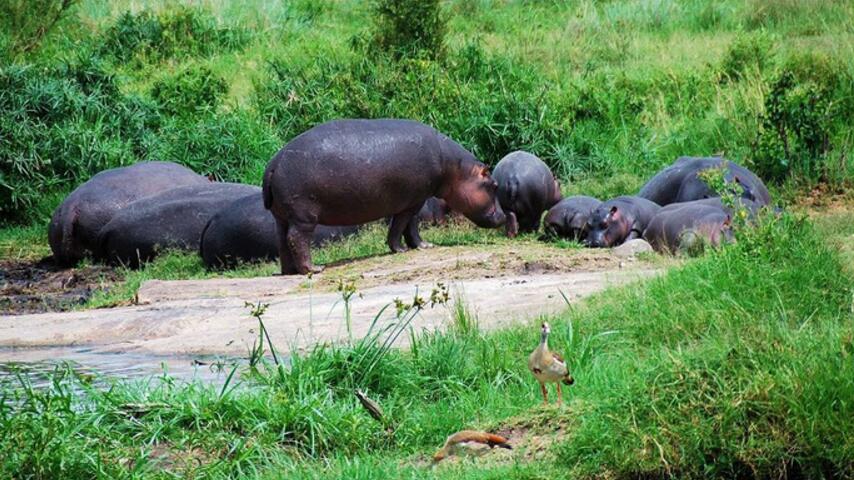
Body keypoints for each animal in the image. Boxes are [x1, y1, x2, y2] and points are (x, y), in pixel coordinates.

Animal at [262, 118, 508, 274]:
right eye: (494, 185)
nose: (504, 216)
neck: (454, 169)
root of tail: (273, 163)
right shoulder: (412, 202)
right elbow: (402, 226)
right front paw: (408, 248)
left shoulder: (412, 201)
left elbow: (407, 226)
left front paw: (417, 246)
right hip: (303, 216)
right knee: (297, 238)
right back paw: (314, 269)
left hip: (281, 216)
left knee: (283, 239)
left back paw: (289, 271)